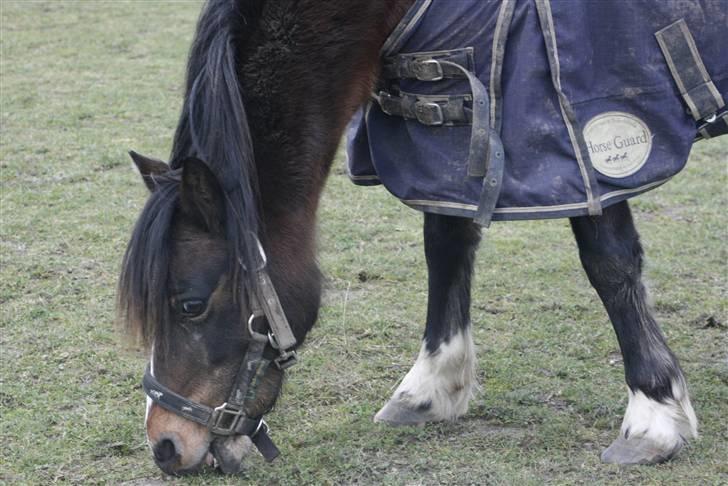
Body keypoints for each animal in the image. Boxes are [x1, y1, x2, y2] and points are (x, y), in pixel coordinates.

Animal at [116, 0, 724, 474]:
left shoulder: (582, 137)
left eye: (191, 305)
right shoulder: (445, 140)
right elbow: (445, 245)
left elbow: (608, 261)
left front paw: (653, 413)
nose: (165, 445)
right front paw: (431, 386)